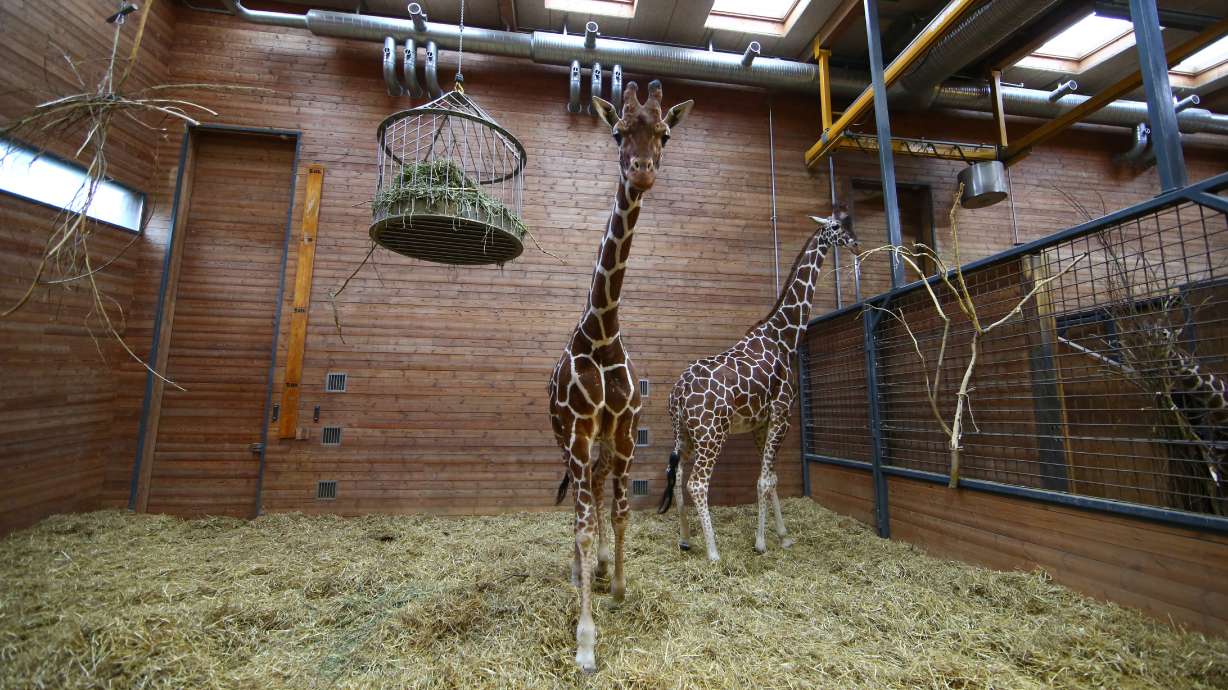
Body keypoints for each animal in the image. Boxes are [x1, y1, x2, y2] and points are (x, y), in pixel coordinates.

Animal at [659, 207, 857, 562]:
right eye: (836, 227)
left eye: (849, 224)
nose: (855, 243)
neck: (785, 336)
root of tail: (677, 394)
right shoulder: (782, 414)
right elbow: (764, 481)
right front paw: (762, 542)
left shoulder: (760, 424)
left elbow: (772, 478)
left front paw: (783, 535)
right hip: (712, 434)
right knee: (697, 482)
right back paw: (713, 552)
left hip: (684, 433)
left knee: (678, 474)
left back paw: (685, 539)